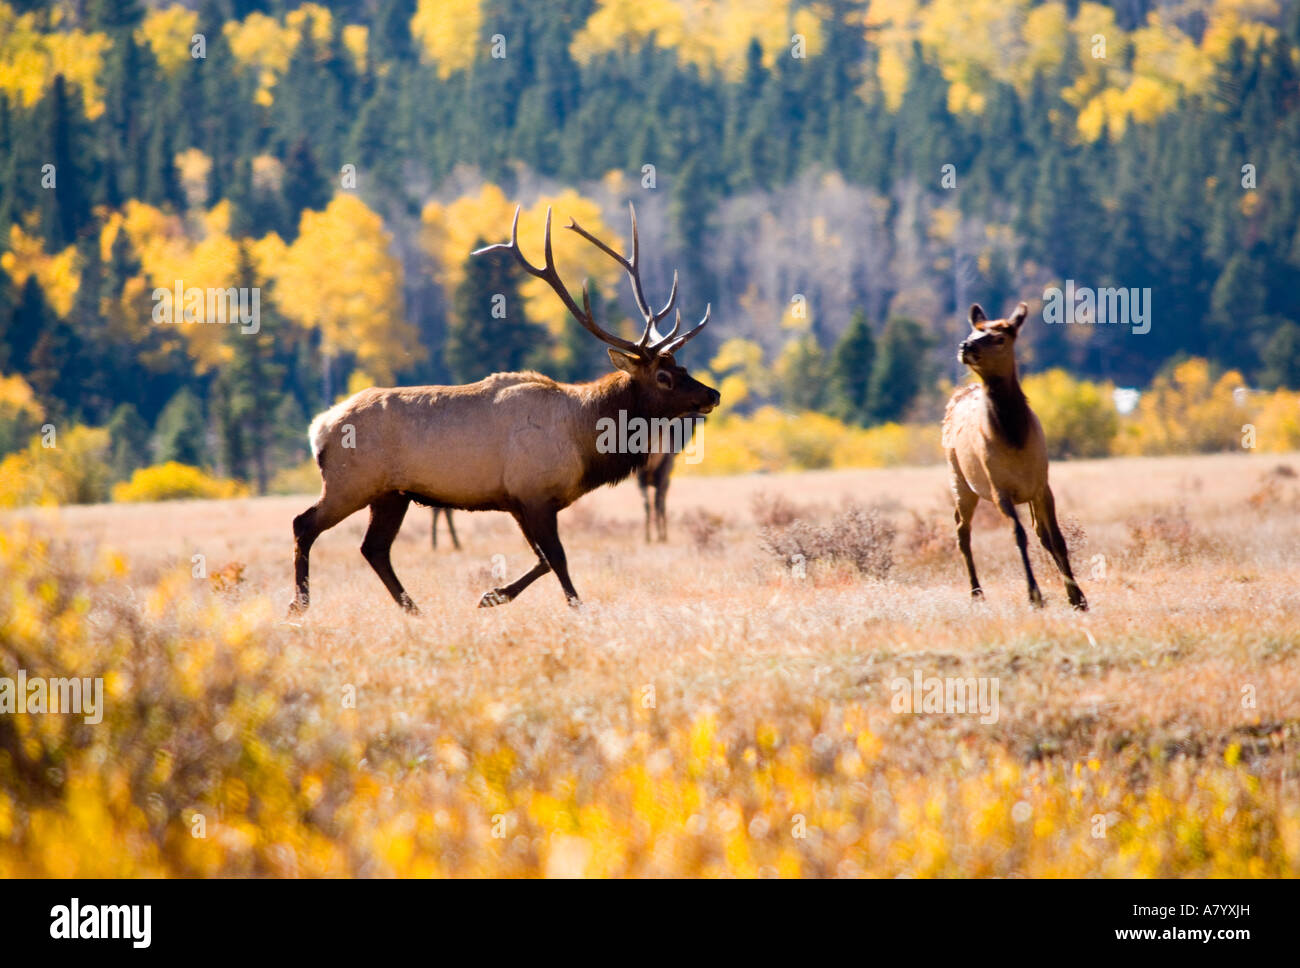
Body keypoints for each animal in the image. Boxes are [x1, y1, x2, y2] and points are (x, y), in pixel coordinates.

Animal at [288, 203, 719, 615]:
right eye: (663, 376)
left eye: (682, 367)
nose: (713, 394)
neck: (585, 441)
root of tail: (319, 426)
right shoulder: (533, 493)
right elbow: (557, 558)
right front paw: (575, 608)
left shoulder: (518, 500)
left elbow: (543, 560)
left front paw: (492, 595)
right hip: (350, 482)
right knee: (304, 523)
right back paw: (301, 603)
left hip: (391, 493)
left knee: (374, 547)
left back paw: (413, 609)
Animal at [942, 302, 1087, 610]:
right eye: (973, 331)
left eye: (999, 337)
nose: (965, 345)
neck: (1015, 441)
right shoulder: (999, 489)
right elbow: (1018, 536)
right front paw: (1034, 595)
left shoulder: (1042, 485)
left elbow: (1056, 538)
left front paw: (1078, 597)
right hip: (959, 478)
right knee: (962, 528)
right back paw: (976, 591)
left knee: (1040, 532)